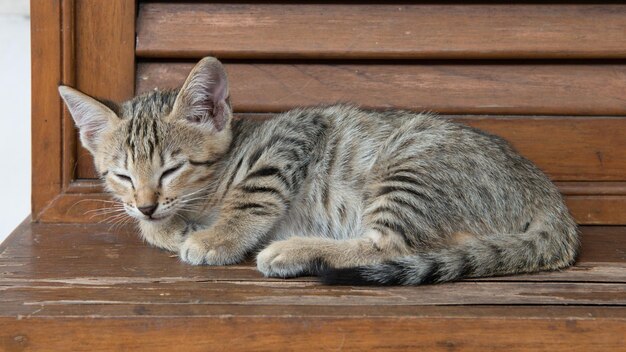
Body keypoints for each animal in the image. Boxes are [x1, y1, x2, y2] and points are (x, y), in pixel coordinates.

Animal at [56, 56, 576, 284]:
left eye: (172, 169)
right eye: (121, 175)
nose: (146, 204)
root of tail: (542, 189)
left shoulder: (293, 134)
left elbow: (251, 196)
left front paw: (214, 237)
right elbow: (149, 228)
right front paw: (165, 229)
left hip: (412, 168)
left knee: (390, 246)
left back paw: (293, 251)